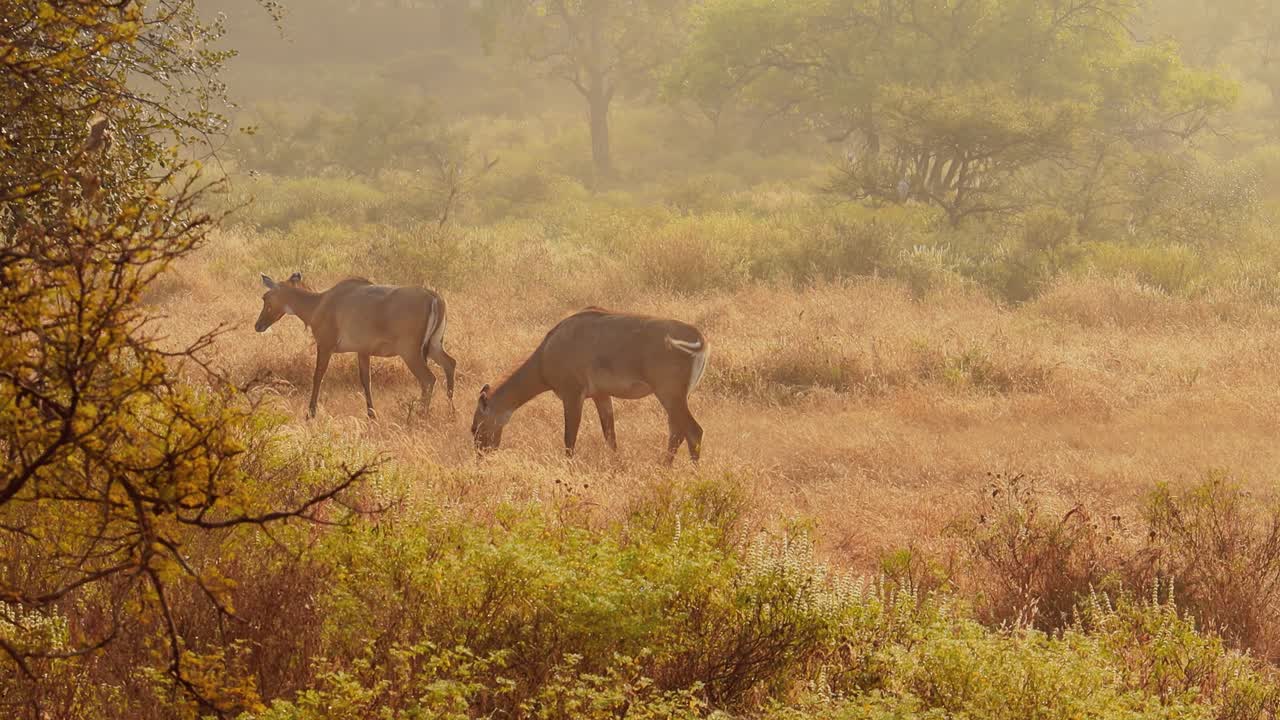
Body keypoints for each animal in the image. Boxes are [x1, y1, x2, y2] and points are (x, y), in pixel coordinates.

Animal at [254, 272, 457, 420]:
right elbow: (366, 380)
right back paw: (451, 413)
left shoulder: (325, 345)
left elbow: (318, 376)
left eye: (265, 297)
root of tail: (434, 297)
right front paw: (371, 415)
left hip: (410, 352)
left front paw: (310, 414)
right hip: (434, 346)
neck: (318, 304)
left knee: (428, 379)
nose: (258, 325)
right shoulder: (363, 351)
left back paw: (421, 415)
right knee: (450, 364)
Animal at [470, 308, 710, 464]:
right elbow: (610, 436)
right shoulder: (601, 396)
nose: (481, 456)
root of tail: (699, 338)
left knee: (693, 431)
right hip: (677, 398)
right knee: (677, 433)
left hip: (669, 395)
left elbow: (569, 439)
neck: (547, 352)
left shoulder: (572, 396)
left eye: (476, 426)